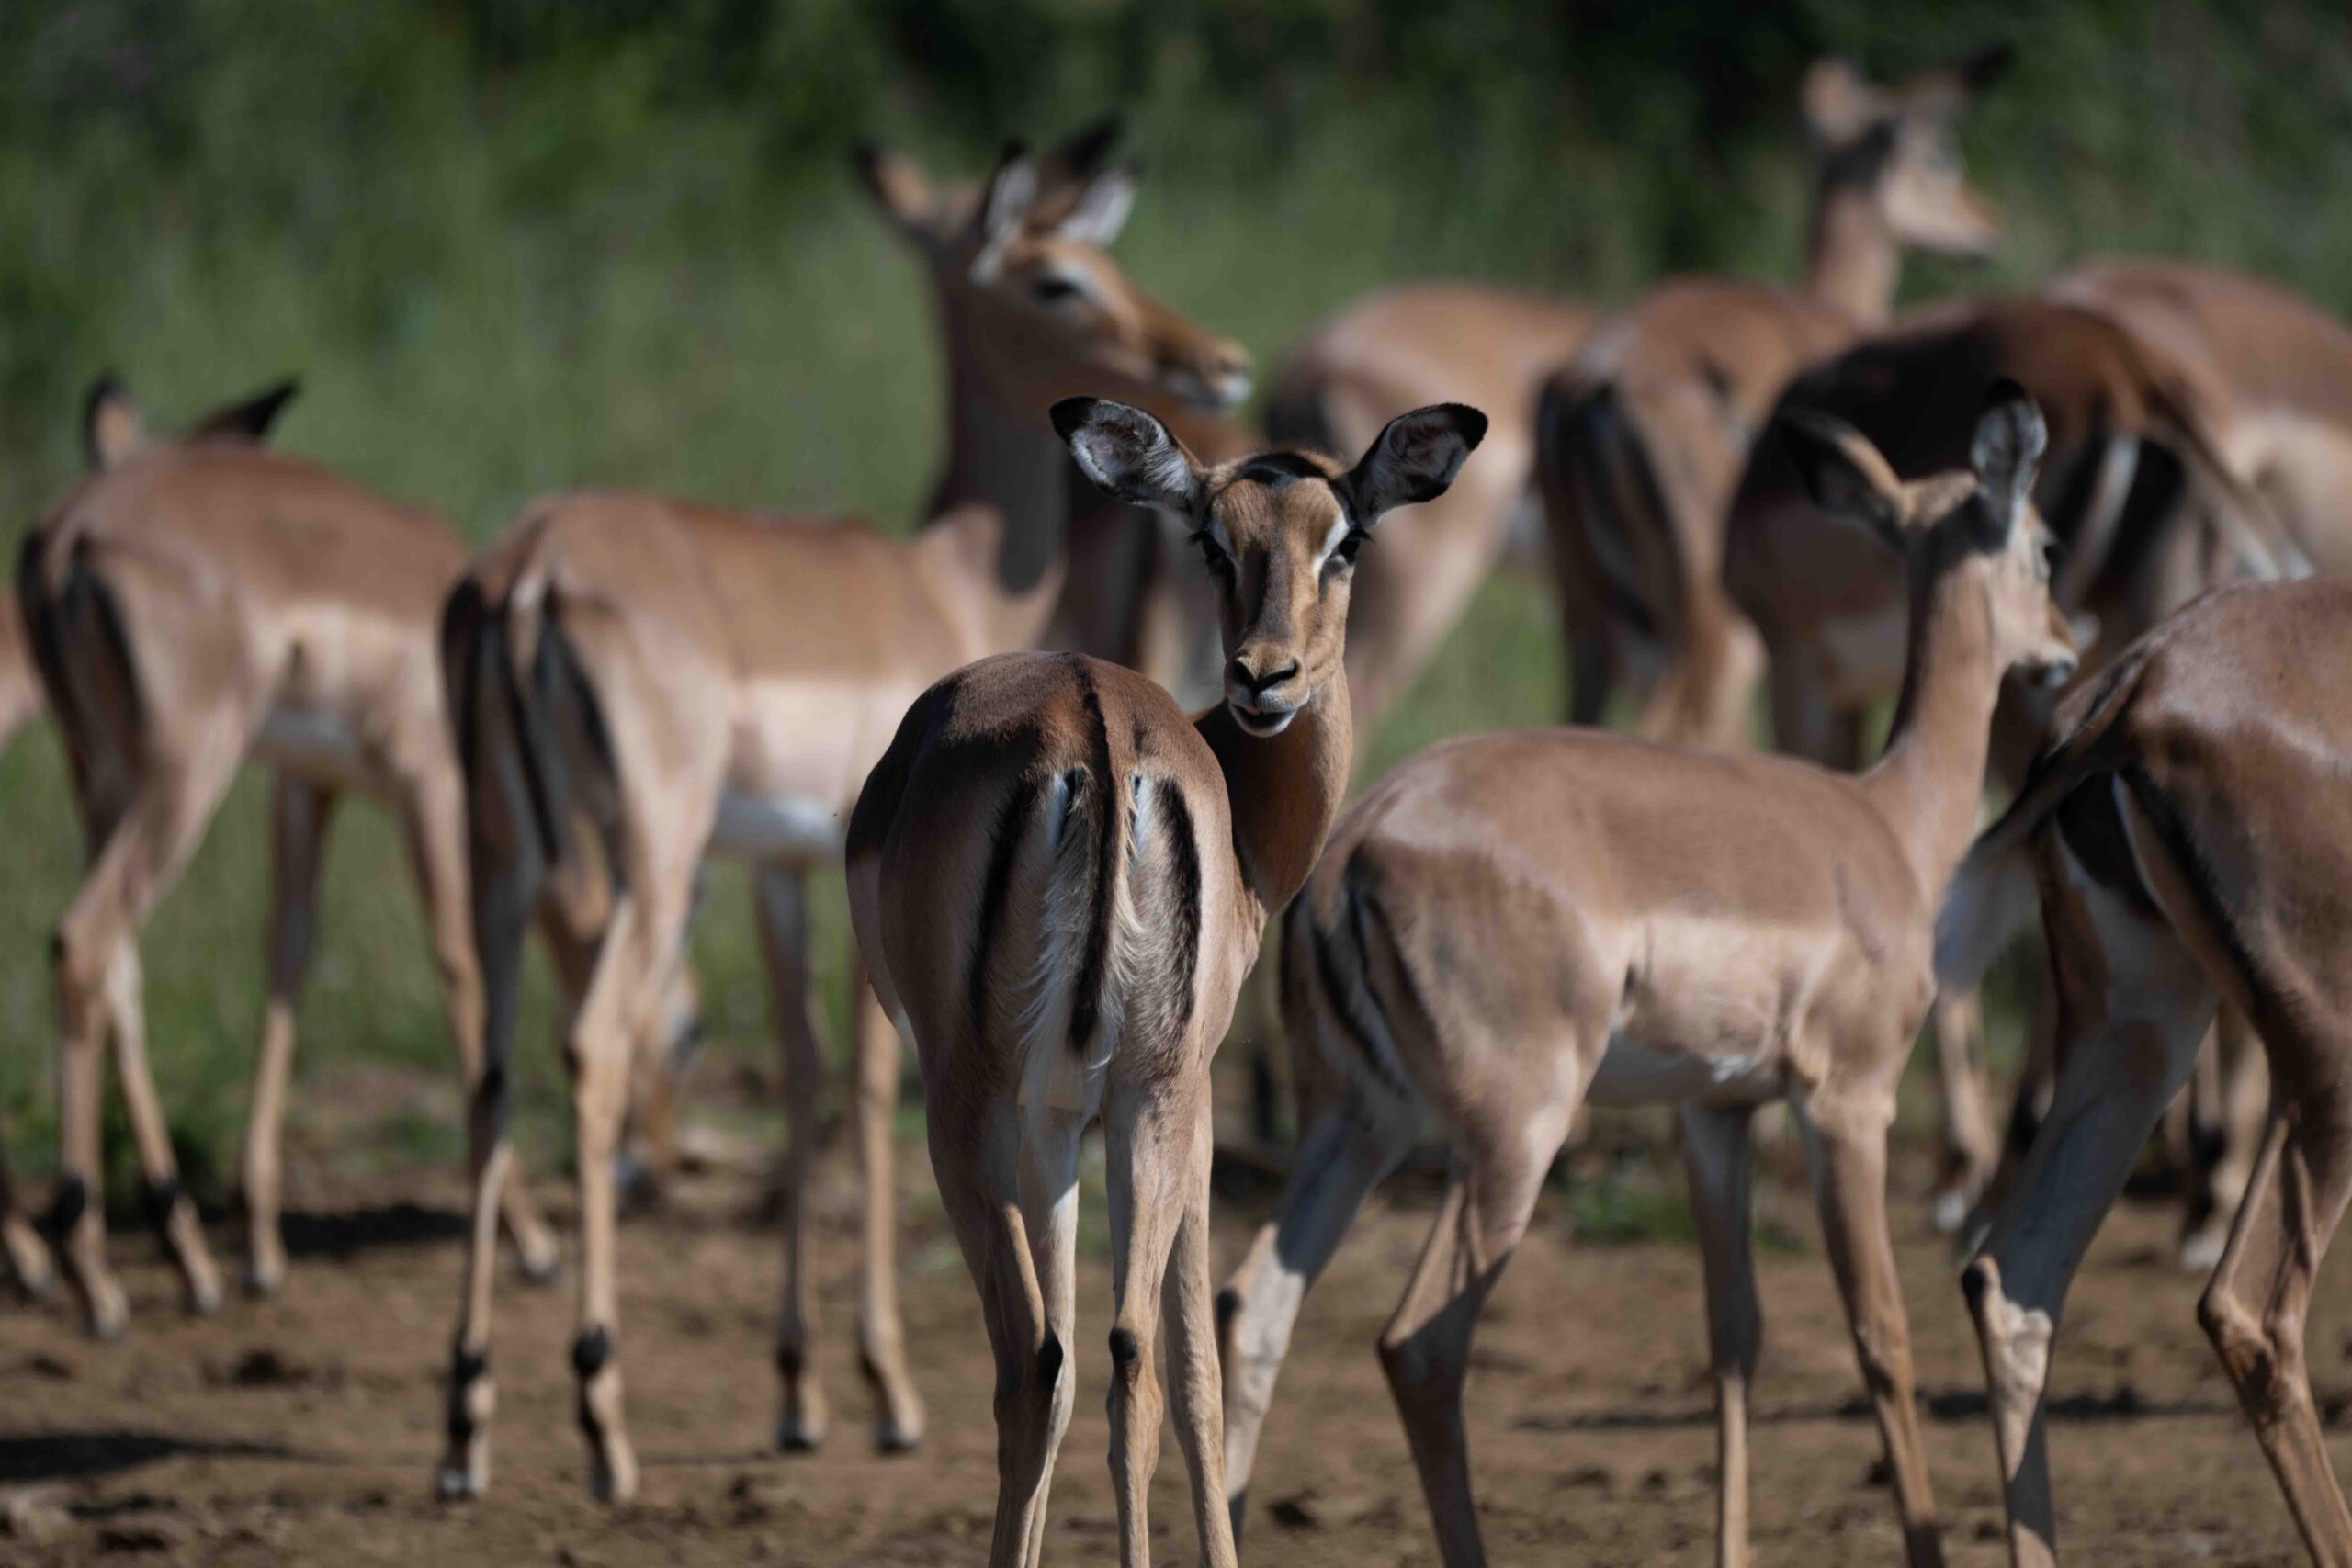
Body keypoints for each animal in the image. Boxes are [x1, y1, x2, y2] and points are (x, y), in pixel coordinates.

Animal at [11, 376, 563, 1340]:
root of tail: (69, 533)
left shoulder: (306, 785)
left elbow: (288, 955)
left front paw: (262, 1247)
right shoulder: (430, 783)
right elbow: (461, 964)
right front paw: (530, 1239)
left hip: (102, 779)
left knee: (115, 965)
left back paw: (183, 1261)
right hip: (184, 776)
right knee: (83, 940)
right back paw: (95, 1281)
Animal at [433, 140, 1258, 1503]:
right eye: (1057, 277)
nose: (1218, 361)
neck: (945, 570)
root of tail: (532, 571)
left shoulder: (778, 864)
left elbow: (807, 1065)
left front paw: (801, 1390)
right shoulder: (835, 871)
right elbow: (868, 1085)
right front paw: (885, 1393)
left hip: (499, 856)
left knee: (492, 1067)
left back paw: (464, 1425)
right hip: (652, 857)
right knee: (594, 1045)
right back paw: (602, 1418)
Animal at [848, 393, 1484, 1568]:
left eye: (1344, 541)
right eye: (1212, 541)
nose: (1265, 676)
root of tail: (1092, 726)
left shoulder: (1078, 1111)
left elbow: (1141, 1361)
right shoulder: (1160, 1108)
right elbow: (1195, 1366)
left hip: (1059, 1105)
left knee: (1075, 1360)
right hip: (1079, 1106)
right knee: (1089, 1361)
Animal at [1218, 386, 2079, 1568]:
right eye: (2043, 541)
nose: (2066, 652)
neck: (1890, 824)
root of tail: (1355, 846)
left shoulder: (1715, 1114)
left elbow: (1734, 1341)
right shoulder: (1848, 1103)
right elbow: (1881, 1335)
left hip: (1356, 1123)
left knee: (1252, 1304)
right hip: (1510, 1139)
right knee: (1416, 1344)